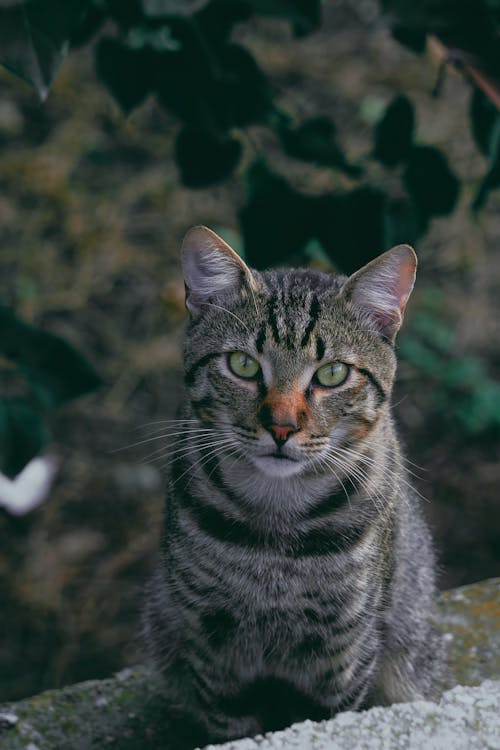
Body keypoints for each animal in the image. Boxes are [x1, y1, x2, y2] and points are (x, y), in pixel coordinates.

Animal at [141, 226, 446, 748]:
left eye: (332, 373)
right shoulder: (211, 643)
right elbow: (228, 724)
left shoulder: (345, 648)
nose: (282, 426)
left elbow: (326, 720)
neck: (276, 522)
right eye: (242, 364)